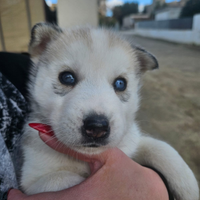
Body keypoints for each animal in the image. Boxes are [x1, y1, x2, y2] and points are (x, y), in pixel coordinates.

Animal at [21, 22, 199, 199]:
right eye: (67, 77)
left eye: (120, 83)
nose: (97, 127)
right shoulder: (31, 180)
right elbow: (60, 180)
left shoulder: (132, 143)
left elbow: (163, 149)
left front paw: (191, 190)